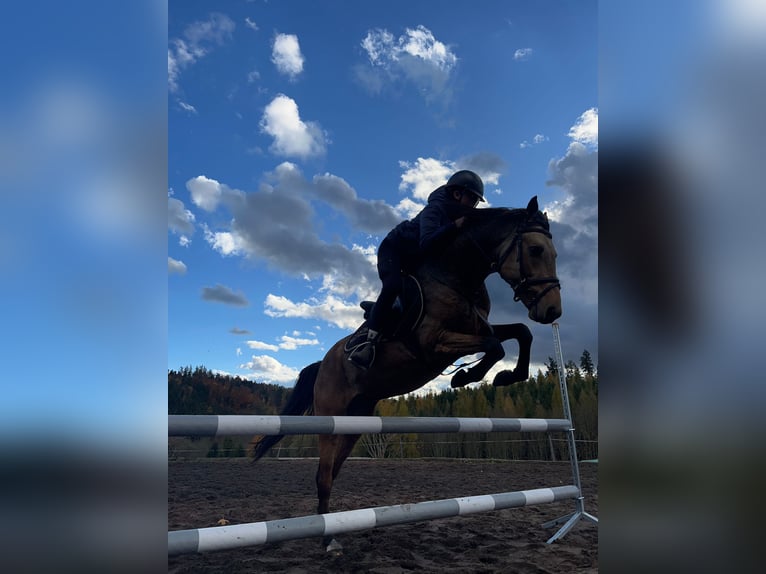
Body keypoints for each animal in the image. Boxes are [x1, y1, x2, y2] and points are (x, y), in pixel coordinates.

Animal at [252, 196, 561, 551]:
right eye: (536, 250)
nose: (553, 310)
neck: (456, 277)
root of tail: (323, 364)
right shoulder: (434, 345)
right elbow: (495, 345)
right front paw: (465, 377)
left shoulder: (475, 329)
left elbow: (520, 333)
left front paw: (506, 377)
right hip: (330, 418)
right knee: (323, 476)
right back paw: (328, 540)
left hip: (354, 422)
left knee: (332, 473)